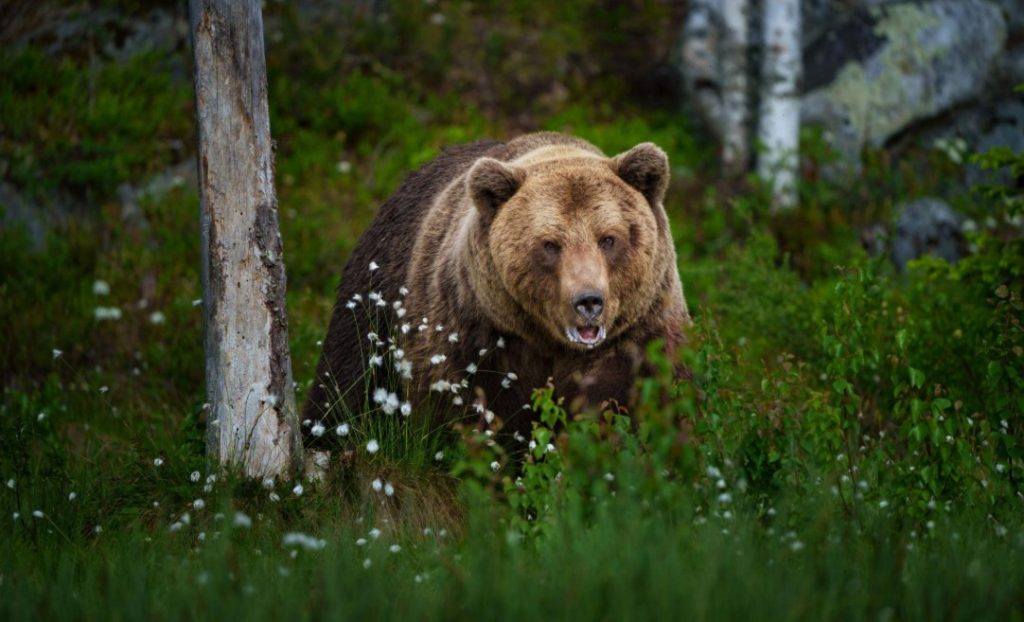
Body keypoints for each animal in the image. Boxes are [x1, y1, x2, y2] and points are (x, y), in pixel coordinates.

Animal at [304, 132, 690, 445]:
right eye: (550, 244)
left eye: (608, 238)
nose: (589, 302)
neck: (550, 343)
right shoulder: (477, 340)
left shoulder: (639, 339)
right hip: (378, 293)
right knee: (348, 379)